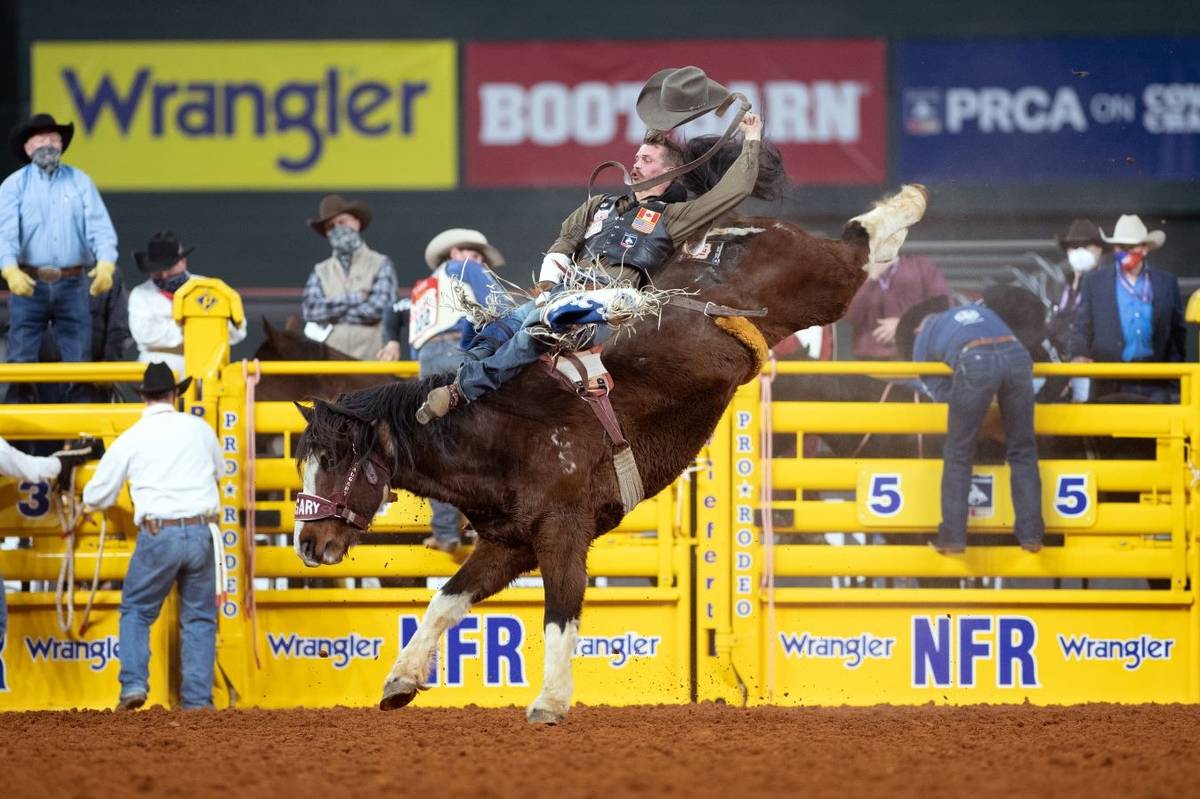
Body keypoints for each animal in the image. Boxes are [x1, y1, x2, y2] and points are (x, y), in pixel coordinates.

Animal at [290, 183, 926, 719]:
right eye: (307, 462)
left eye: (340, 461)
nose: (309, 544)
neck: (501, 433)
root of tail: (732, 230)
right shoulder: (508, 544)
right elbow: (445, 601)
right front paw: (401, 679)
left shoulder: (564, 531)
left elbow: (559, 615)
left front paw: (549, 701)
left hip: (815, 282)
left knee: (855, 247)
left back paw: (907, 203)